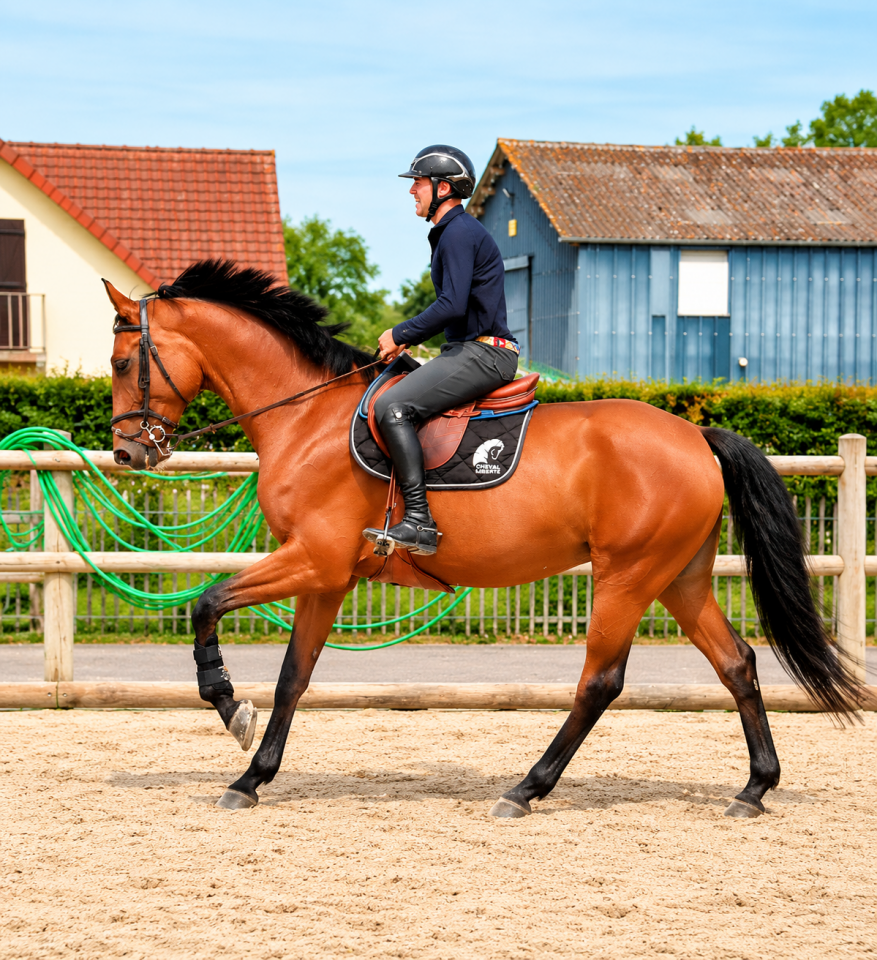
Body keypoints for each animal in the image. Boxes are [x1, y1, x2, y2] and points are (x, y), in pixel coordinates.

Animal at [105, 259, 860, 819]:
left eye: (119, 362)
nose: (127, 454)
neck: (307, 417)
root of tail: (695, 436)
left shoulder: (310, 559)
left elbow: (207, 603)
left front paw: (228, 705)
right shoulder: (328, 576)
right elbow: (295, 675)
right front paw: (252, 776)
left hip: (627, 576)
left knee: (601, 681)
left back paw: (526, 789)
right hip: (678, 578)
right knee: (736, 664)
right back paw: (754, 787)